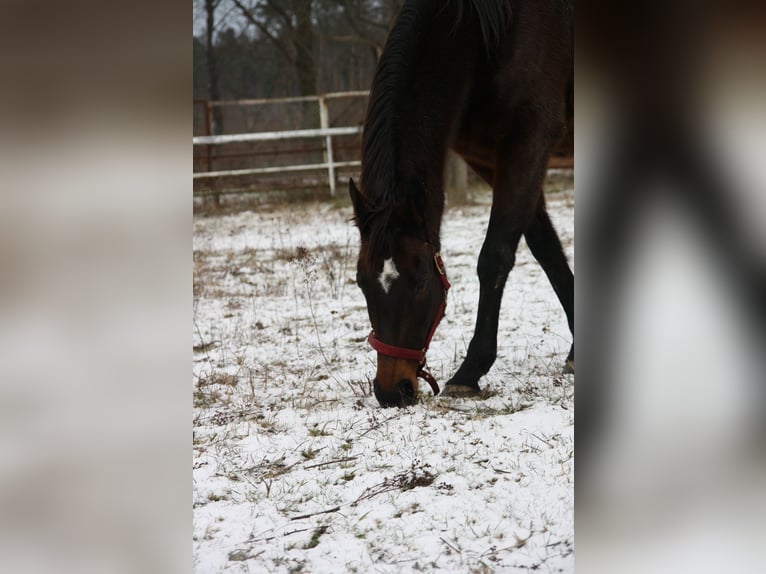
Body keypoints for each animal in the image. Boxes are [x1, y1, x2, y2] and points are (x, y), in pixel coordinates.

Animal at [352, 0, 572, 410]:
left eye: (421, 282)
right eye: (361, 282)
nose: (391, 391)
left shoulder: (529, 143)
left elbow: (495, 257)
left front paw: (469, 373)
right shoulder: (490, 160)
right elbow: (547, 251)